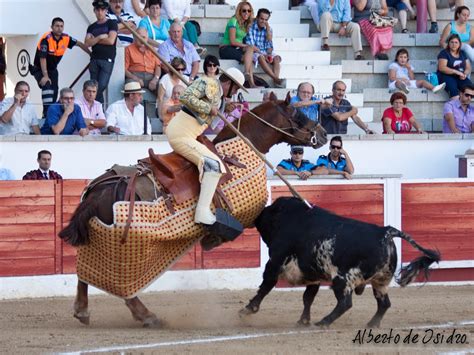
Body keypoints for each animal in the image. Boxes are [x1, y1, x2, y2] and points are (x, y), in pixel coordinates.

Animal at [58, 92, 326, 328]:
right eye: (298, 113)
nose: (323, 133)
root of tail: (99, 192)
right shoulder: (251, 213)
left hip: (98, 239)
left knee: (87, 271)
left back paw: (83, 311)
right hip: (126, 248)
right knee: (122, 285)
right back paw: (147, 316)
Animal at [241, 197, 440, 328]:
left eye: (270, 211)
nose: (258, 214)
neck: (289, 219)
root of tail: (385, 232)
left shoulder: (274, 262)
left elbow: (266, 286)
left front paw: (248, 309)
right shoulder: (313, 275)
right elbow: (308, 297)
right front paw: (303, 321)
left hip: (343, 279)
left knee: (345, 303)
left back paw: (324, 322)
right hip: (380, 281)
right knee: (384, 304)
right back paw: (371, 324)